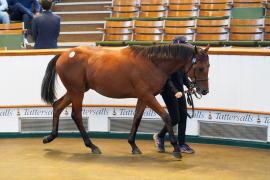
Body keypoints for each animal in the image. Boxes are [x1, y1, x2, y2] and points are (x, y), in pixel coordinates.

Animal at [40, 44, 210, 159]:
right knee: (76, 115)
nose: (204, 91)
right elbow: (166, 117)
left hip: (76, 91)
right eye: (200, 68)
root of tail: (64, 54)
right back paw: (92, 146)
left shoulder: (143, 97)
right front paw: (175, 149)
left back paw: (50, 137)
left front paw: (133, 145)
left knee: (57, 106)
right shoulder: (148, 96)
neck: (153, 63)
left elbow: (137, 119)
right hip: (77, 92)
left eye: (208, 65)